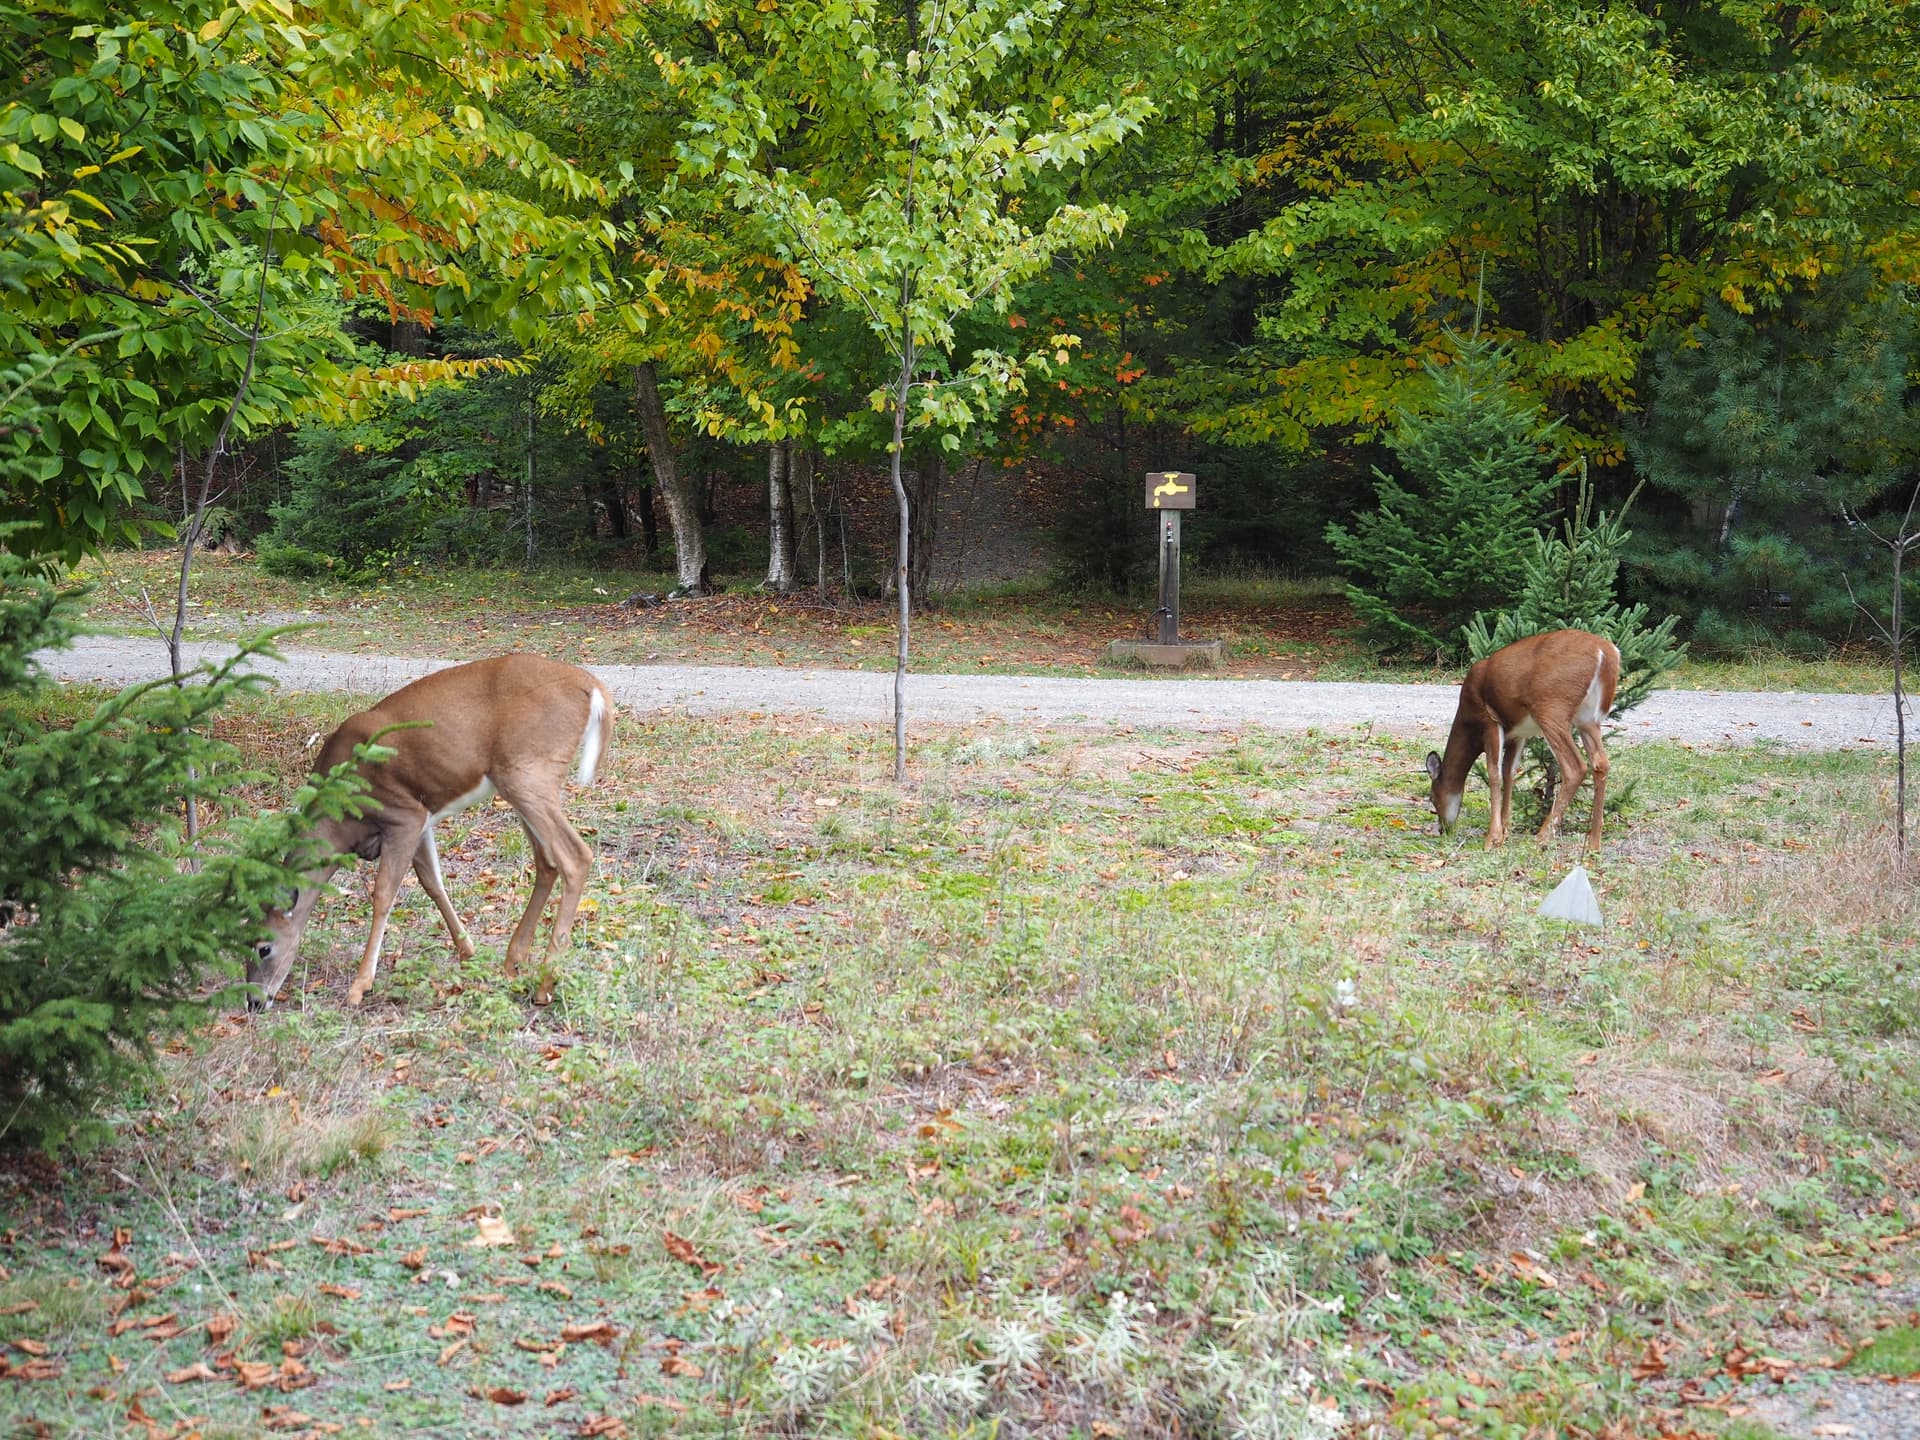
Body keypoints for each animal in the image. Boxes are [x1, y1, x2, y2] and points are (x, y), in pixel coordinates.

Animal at [243, 656, 610, 1006]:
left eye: (264, 948)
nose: (254, 1001)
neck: (340, 820)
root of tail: (592, 687)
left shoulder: (403, 815)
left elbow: (383, 894)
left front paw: (360, 986)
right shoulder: (422, 823)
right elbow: (432, 883)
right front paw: (468, 953)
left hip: (527, 773)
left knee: (575, 856)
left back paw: (545, 984)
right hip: (520, 782)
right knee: (547, 863)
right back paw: (513, 963)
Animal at [1428, 629, 1620, 852]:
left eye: (1432, 797)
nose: (1443, 829)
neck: (1469, 723)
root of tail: (1606, 652)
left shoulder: (1489, 718)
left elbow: (1494, 773)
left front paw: (1492, 838)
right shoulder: (1518, 734)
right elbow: (1509, 772)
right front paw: (1504, 831)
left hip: (1551, 708)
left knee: (1575, 767)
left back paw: (1542, 838)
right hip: (1588, 718)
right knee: (1601, 764)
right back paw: (1593, 844)